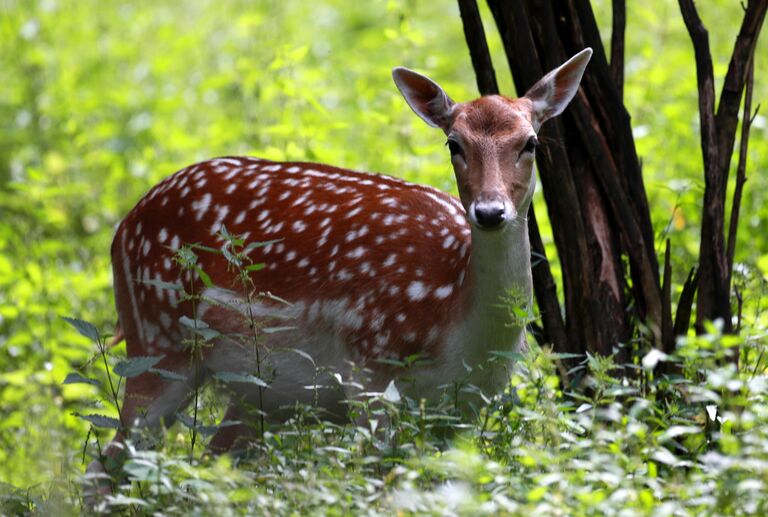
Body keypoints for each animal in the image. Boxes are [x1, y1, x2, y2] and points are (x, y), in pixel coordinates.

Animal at [88, 47, 592, 484]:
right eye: (454, 144)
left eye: (530, 143)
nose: (489, 211)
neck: (451, 318)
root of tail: (122, 226)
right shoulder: (368, 371)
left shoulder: (466, 407)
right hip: (157, 337)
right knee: (106, 464)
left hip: (256, 395)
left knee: (210, 462)